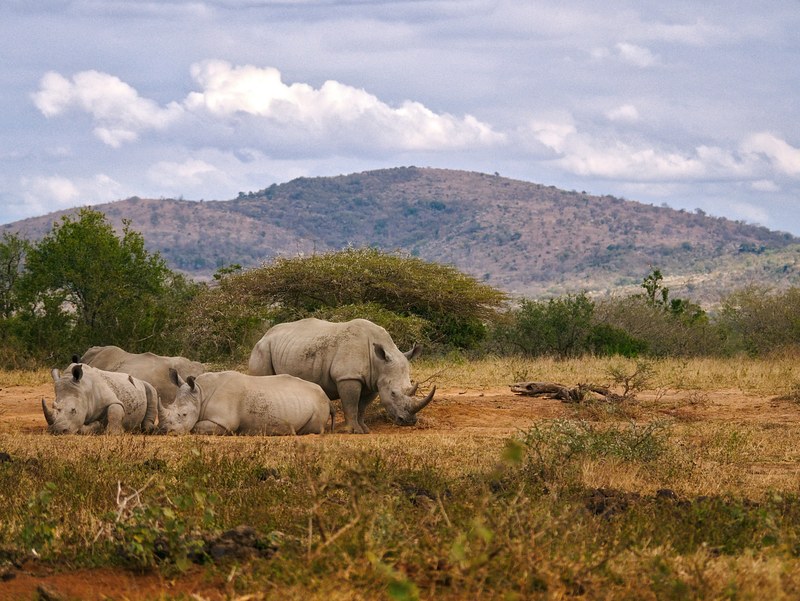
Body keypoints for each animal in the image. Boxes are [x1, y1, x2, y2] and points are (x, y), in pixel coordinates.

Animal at [158, 369, 334, 435]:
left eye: (183, 414)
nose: (164, 430)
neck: (200, 393)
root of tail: (327, 397)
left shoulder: (224, 422)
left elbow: (196, 427)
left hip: (319, 404)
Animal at [248, 318, 435, 434]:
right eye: (393, 393)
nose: (409, 421)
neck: (378, 362)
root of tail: (264, 335)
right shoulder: (347, 376)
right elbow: (351, 404)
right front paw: (354, 431)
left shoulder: (373, 382)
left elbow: (361, 407)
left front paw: (365, 429)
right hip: (262, 349)